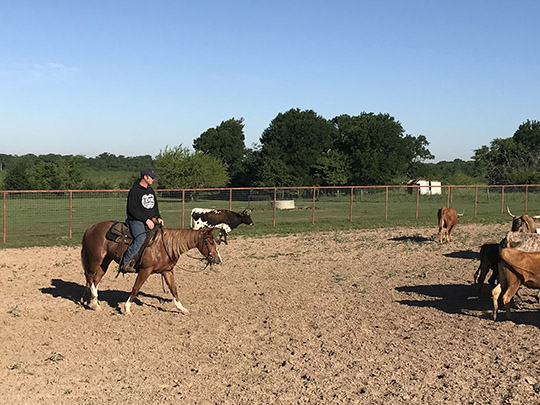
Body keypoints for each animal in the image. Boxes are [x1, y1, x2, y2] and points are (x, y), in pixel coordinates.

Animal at [81, 221, 220, 312]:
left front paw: (181, 308)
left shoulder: (167, 271)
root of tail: (90, 228)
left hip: (105, 261)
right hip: (95, 259)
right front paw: (127, 308)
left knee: (96, 279)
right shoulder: (145, 270)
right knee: (89, 276)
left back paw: (95, 302)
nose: (218, 259)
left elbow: (173, 289)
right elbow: (136, 288)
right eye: (211, 242)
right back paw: (94, 301)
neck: (164, 246)